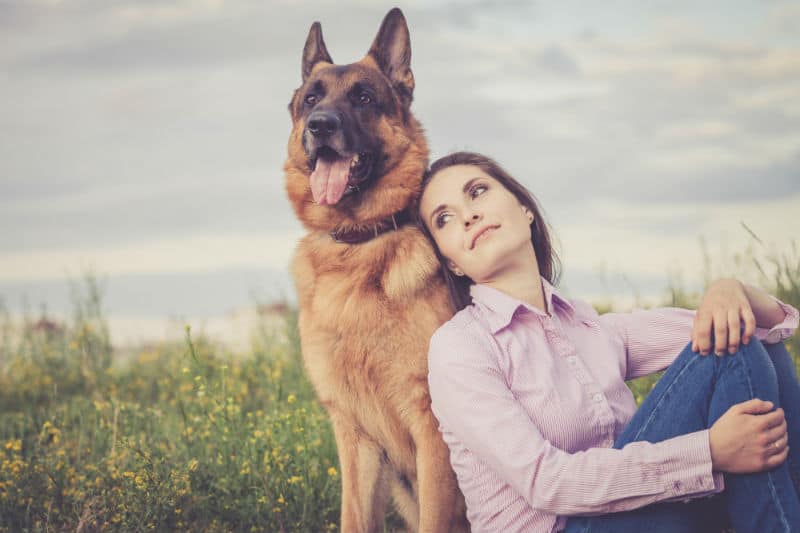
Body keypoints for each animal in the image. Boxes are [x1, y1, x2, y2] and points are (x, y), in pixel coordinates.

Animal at [282, 8, 468, 532]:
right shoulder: (355, 436)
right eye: (311, 99)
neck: (357, 244)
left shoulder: (432, 430)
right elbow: (354, 517)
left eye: (363, 97)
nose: (320, 125)